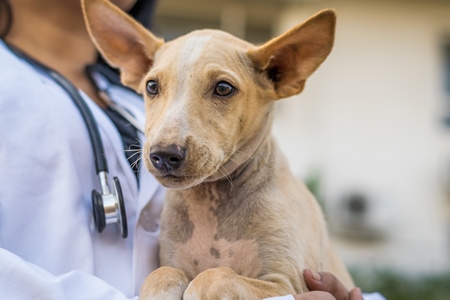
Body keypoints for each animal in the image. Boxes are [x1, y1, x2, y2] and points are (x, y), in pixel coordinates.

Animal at [82, 0, 354, 298]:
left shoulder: (286, 283)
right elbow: (161, 274)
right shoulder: (171, 260)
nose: (163, 155)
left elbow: (215, 276)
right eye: (152, 86)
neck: (211, 199)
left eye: (223, 88)